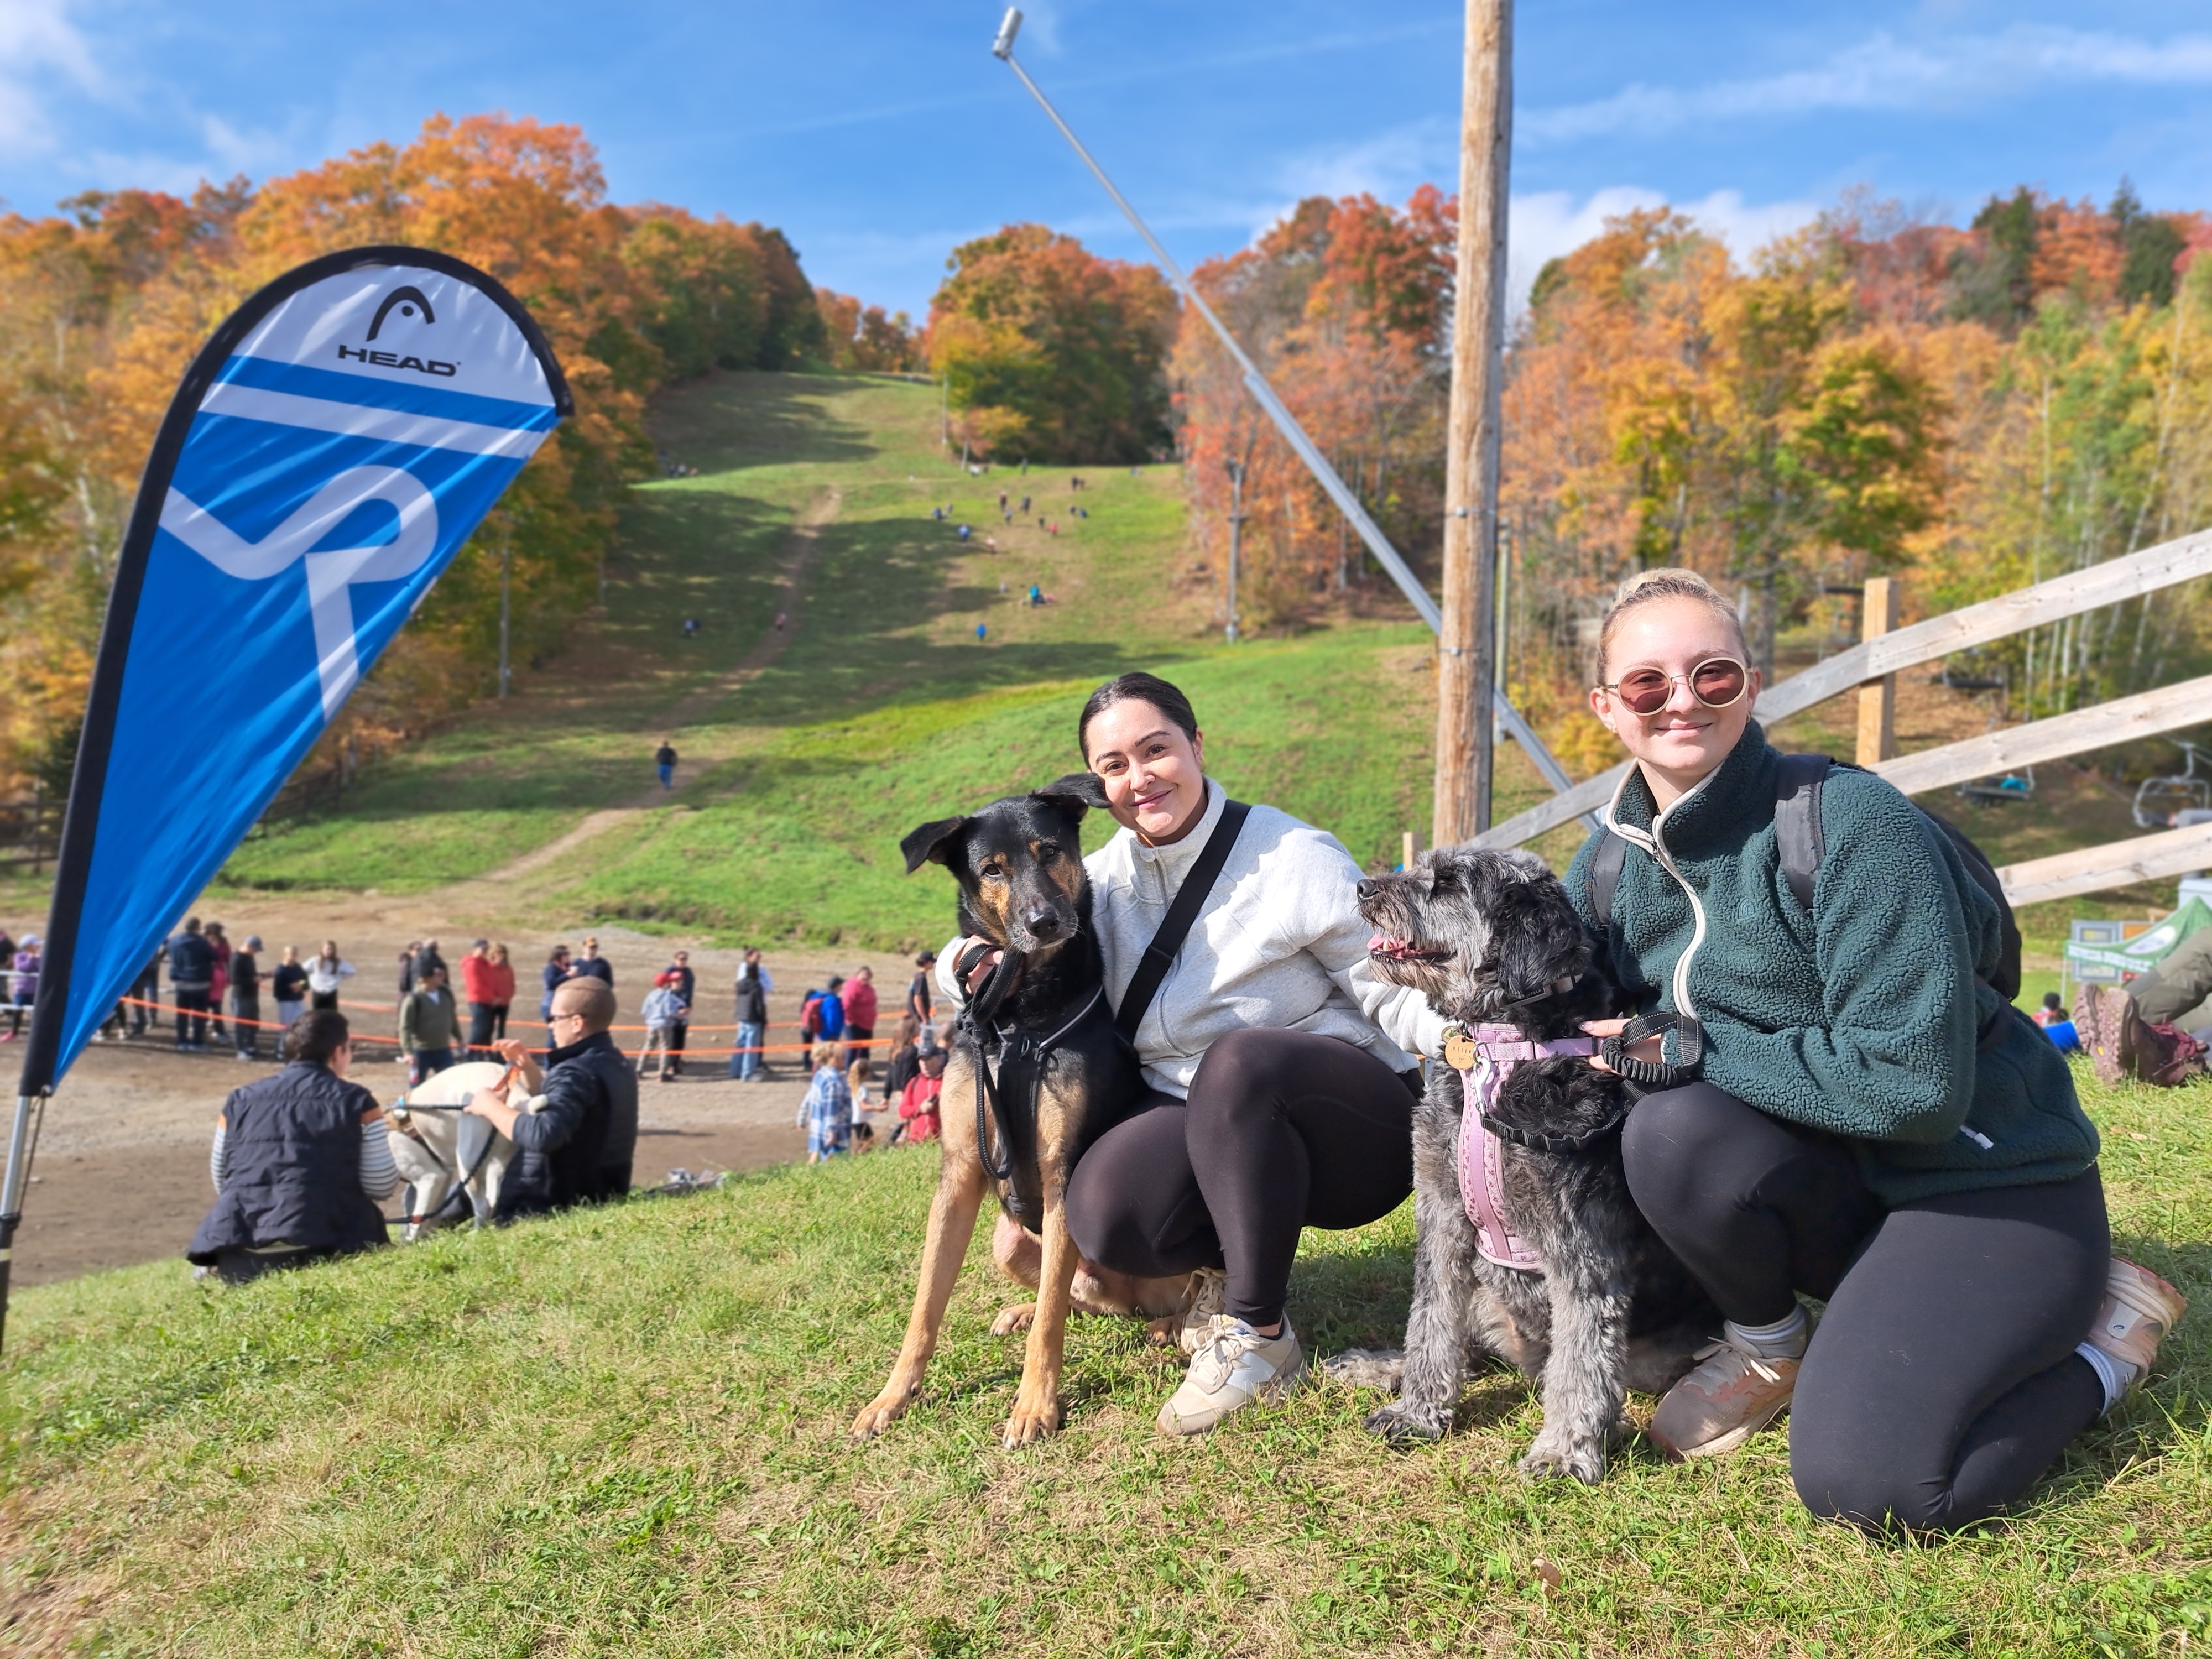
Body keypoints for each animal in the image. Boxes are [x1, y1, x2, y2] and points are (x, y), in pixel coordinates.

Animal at [845, 779, 1194, 1442]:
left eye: (1050, 851)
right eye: (991, 870)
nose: (1044, 921)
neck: (1016, 1017)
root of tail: (1130, 1299)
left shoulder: (1062, 1170)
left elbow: (1051, 1326)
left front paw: (1034, 1405)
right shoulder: (959, 1169)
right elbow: (925, 1306)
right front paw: (892, 1397)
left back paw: (1172, 1325)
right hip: (1006, 1240)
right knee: (1077, 1300)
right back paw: (1022, 1310)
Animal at [1345, 849, 1708, 1486]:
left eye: (1448, 882)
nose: (1364, 888)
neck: (1501, 1050)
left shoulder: (1578, 1240)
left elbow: (1583, 1357)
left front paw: (1564, 1451)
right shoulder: (1441, 1211)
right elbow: (1429, 1320)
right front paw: (1417, 1412)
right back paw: (1379, 1368)